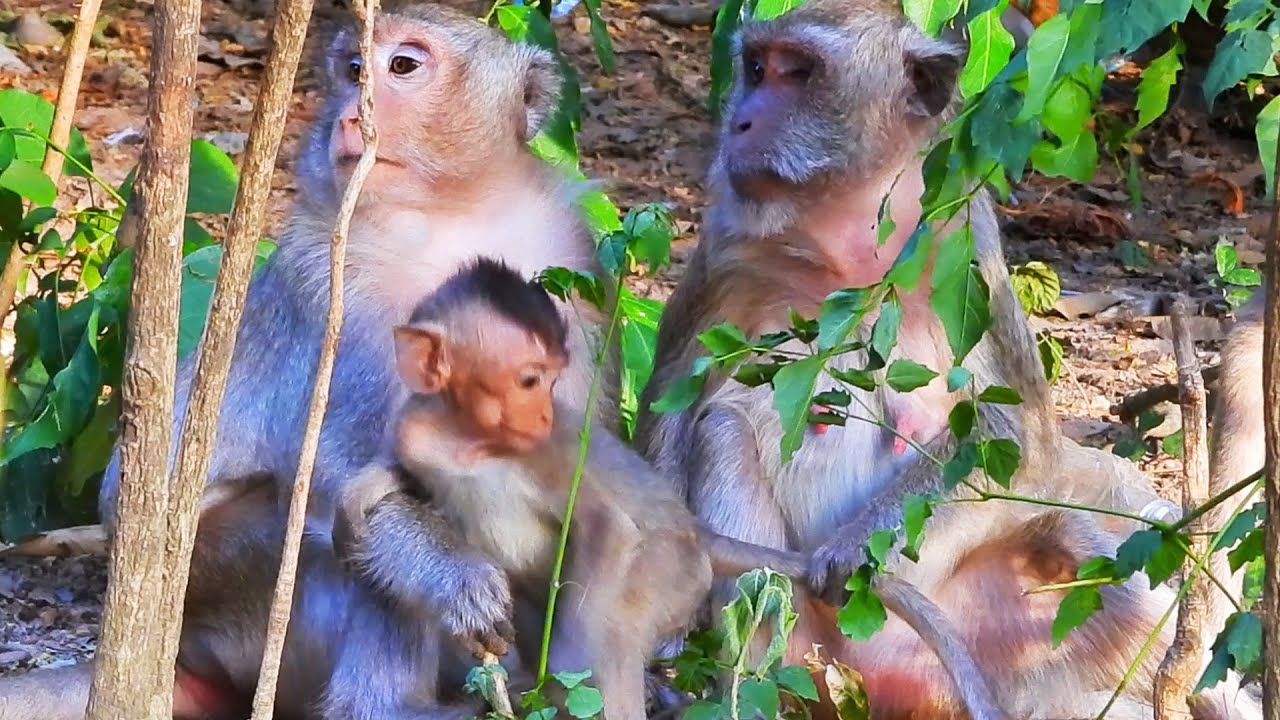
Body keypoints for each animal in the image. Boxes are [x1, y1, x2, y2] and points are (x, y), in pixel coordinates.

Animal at [62, 4, 613, 719]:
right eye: (353, 69)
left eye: (402, 65)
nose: (352, 114)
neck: (449, 215)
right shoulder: (335, 291)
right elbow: (335, 468)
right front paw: (455, 577)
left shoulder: (570, 262)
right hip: (216, 581)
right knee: (327, 532)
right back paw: (388, 703)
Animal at [329, 257, 1010, 720]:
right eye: (527, 379)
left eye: (548, 380)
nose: (542, 413)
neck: (470, 441)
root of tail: (695, 530)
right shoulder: (419, 426)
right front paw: (364, 497)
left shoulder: (549, 455)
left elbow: (606, 527)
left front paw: (564, 669)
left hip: (668, 575)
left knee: (621, 624)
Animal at [634, 1, 1252, 718]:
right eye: (756, 68)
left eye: (799, 72)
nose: (739, 122)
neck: (848, 243)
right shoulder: (727, 253)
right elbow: (672, 408)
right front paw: (665, 636)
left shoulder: (968, 253)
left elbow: (1015, 434)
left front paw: (851, 547)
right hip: (803, 644)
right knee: (724, 435)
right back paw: (742, 684)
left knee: (1108, 546)